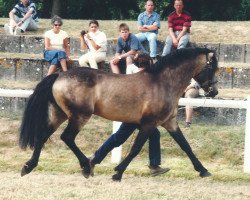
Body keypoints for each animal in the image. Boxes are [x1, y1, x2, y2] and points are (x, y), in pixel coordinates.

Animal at [19, 47, 218, 181]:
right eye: (212, 67)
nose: (214, 92)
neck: (163, 83)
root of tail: (59, 76)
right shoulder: (148, 123)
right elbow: (135, 148)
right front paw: (118, 172)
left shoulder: (169, 122)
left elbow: (185, 146)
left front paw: (203, 170)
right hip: (80, 116)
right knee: (67, 137)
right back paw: (86, 167)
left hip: (60, 114)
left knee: (42, 136)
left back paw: (29, 166)